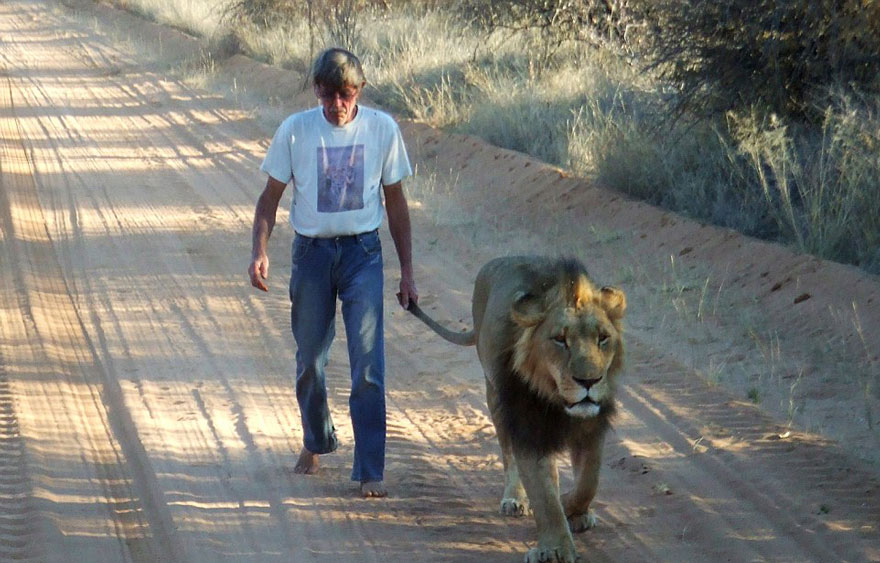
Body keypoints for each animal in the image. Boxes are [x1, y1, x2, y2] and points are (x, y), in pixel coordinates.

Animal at [408, 256, 626, 563]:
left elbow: (588, 482)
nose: (589, 381)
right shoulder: (527, 428)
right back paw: (514, 498)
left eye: (603, 338)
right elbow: (543, 495)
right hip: (496, 398)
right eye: (560, 339)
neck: (556, 400)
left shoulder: (591, 427)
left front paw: (574, 510)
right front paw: (555, 548)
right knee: (508, 453)